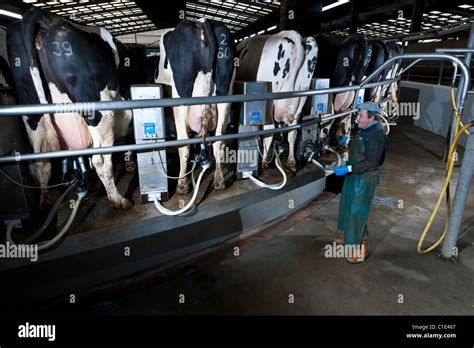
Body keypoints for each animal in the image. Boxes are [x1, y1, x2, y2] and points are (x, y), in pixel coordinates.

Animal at [7, 7, 132, 209]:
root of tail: (43, 15)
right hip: (100, 111)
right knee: (100, 159)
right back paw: (118, 199)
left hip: (31, 113)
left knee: (40, 162)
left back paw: (44, 201)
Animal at [156, 19, 237, 194]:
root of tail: (202, 23)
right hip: (225, 92)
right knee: (219, 140)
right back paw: (219, 181)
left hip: (181, 97)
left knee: (183, 143)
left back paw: (182, 184)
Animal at [235, 30, 316, 172]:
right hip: (302, 97)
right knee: (293, 131)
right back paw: (291, 163)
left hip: (269, 99)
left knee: (269, 130)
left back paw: (264, 162)